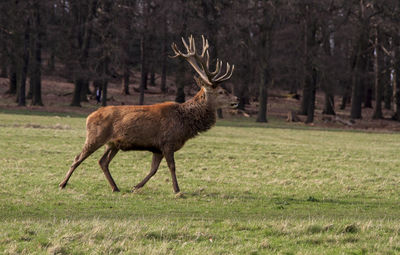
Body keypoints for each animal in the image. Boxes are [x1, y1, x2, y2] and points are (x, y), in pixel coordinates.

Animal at [59, 34, 238, 194]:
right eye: (221, 92)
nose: (236, 99)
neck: (185, 125)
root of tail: (89, 117)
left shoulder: (157, 148)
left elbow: (153, 169)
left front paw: (136, 186)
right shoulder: (167, 142)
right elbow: (172, 167)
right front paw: (177, 190)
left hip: (113, 144)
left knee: (102, 162)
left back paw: (115, 187)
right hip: (95, 136)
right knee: (78, 158)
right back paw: (62, 184)